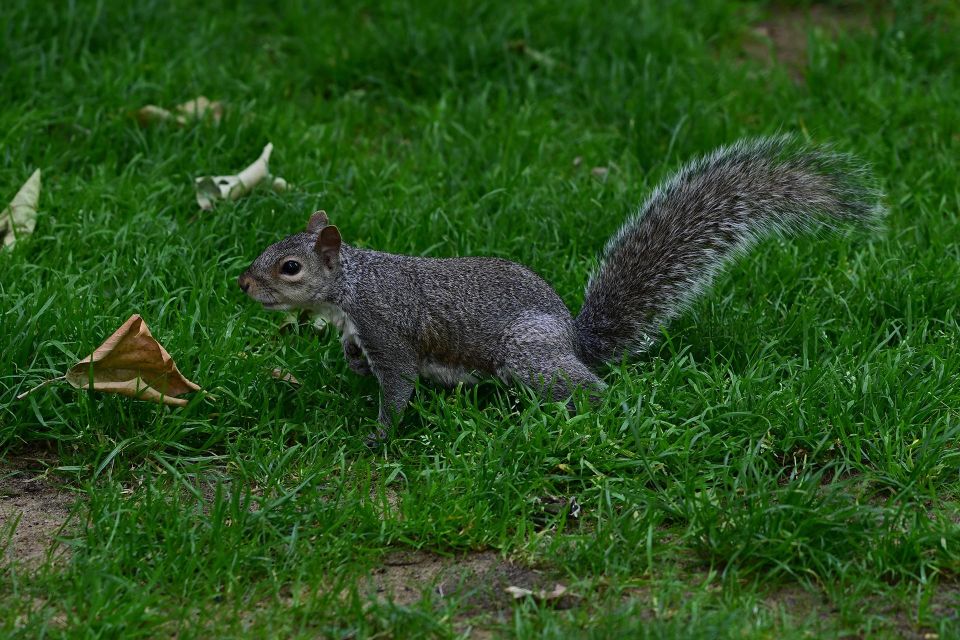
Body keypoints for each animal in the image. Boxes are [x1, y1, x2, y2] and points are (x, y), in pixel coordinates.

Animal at [236, 135, 880, 444]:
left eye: (289, 267)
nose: (243, 283)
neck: (353, 285)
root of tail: (574, 342)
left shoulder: (389, 329)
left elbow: (396, 388)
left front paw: (377, 436)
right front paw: (351, 364)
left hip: (525, 354)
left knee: (587, 389)